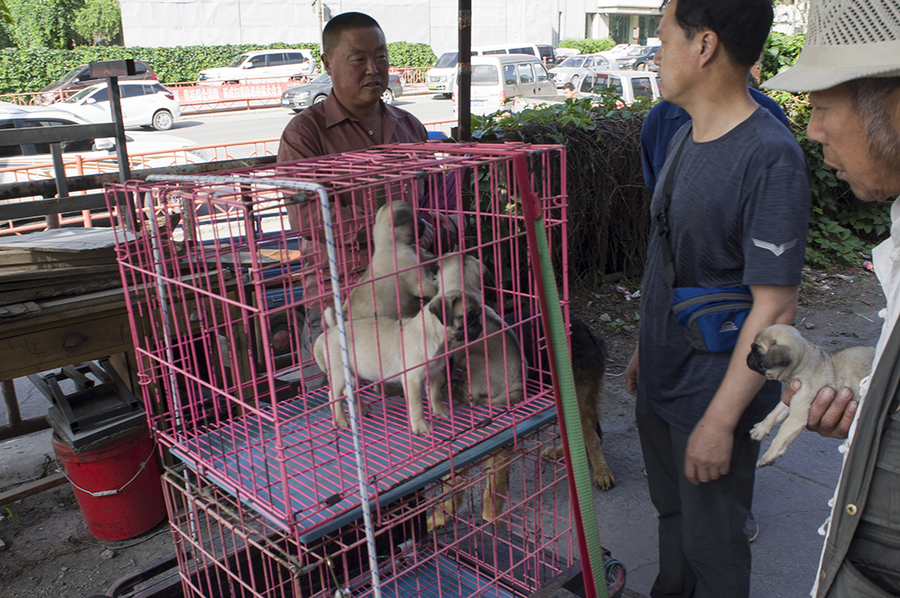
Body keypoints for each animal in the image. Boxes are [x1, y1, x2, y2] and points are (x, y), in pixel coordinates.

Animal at [312, 290, 482, 436]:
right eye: (468, 316)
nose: (479, 325)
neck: (435, 338)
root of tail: (330, 332)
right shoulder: (413, 380)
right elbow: (417, 407)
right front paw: (420, 426)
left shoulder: (434, 375)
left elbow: (434, 395)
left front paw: (439, 409)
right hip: (340, 374)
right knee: (333, 395)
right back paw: (341, 419)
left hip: (355, 374)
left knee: (350, 391)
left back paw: (361, 407)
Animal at [748, 324, 876, 468]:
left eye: (758, 354)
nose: (748, 357)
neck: (803, 363)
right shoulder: (791, 398)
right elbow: (774, 414)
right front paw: (761, 428)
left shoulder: (797, 416)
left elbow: (781, 436)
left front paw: (768, 456)